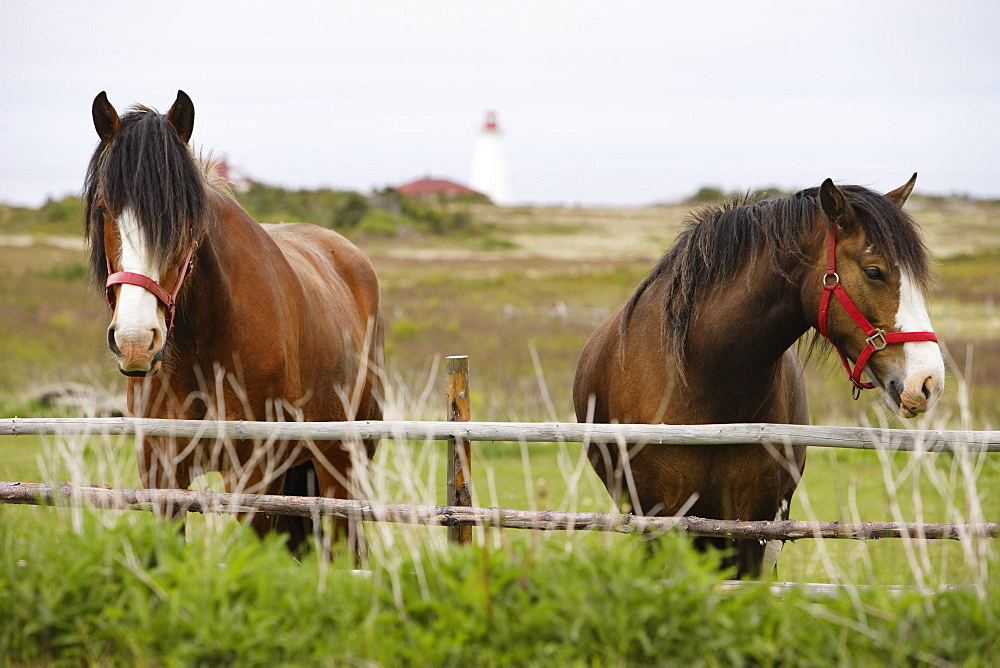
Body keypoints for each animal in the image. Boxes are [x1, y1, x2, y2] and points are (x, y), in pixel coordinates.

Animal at [86, 92, 384, 552]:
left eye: (185, 216)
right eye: (104, 208)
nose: (136, 341)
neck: (202, 348)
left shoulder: (256, 477)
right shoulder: (162, 475)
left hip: (340, 466)